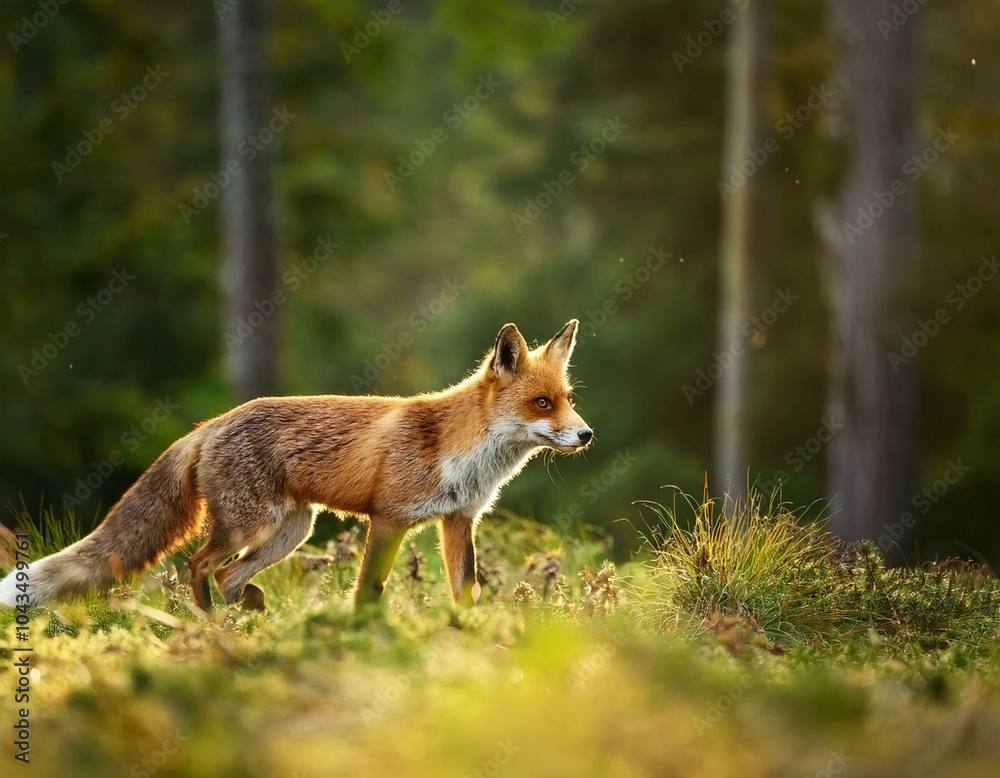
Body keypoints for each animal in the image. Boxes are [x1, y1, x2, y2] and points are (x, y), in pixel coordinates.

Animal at [0, 320, 592, 612]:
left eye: (566, 399)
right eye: (542, 404)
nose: (586, 434)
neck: (458, 452)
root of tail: (211, 423)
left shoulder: (458, 519)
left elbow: (464, 591)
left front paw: (467, 637)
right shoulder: (389, 518)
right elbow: (368, 592)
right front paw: (362, 640)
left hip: (292, 531)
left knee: (228, 574)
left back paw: (251, 618)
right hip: (249, 526)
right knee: (197, 566)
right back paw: (211, 625)